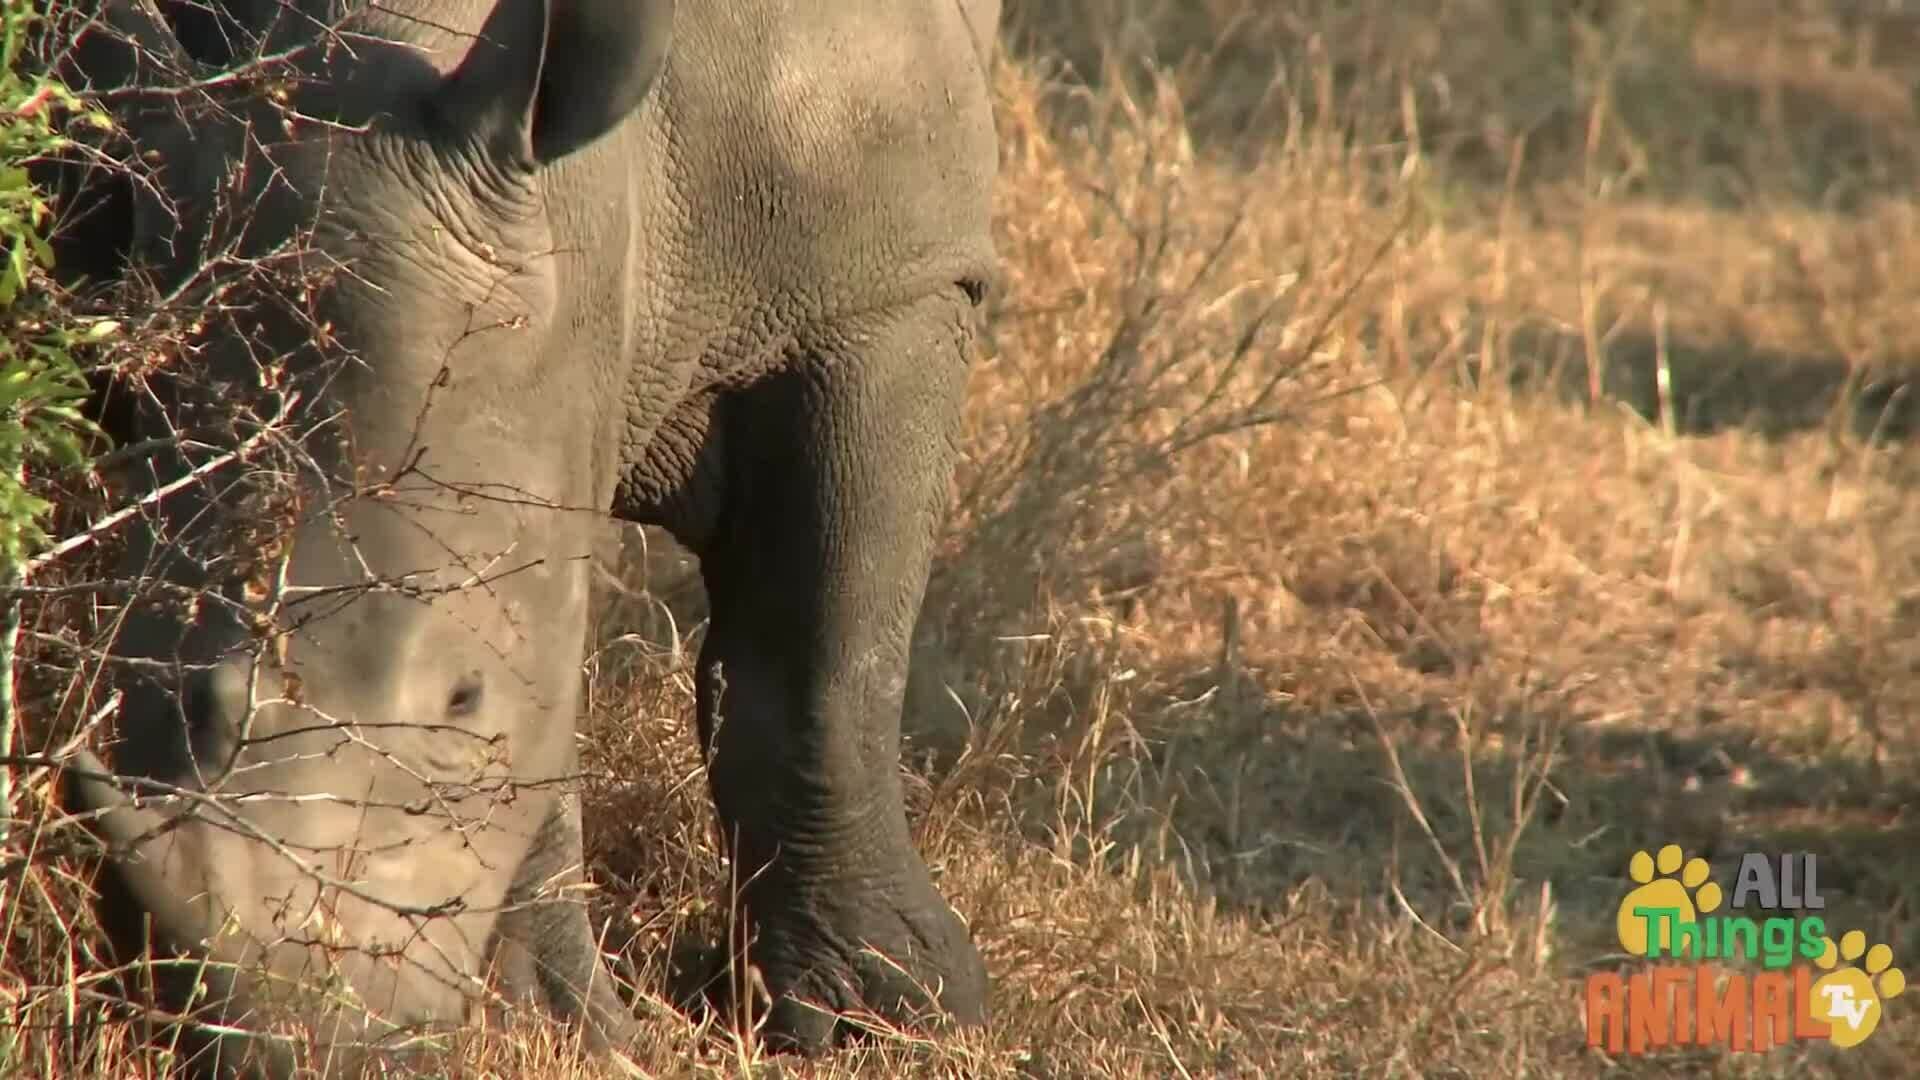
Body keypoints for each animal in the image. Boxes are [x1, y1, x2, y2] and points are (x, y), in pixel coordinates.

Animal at [39, 0, 1001, 1074]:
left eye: (464, 698)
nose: (281, 1043)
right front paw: (557, 1033)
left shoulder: (886, 285)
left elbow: (823, 669)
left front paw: (893, 1019)